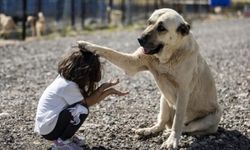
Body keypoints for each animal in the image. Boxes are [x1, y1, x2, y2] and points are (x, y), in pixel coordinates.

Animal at [77, 8, 221, 149]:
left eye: (161, 28)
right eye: (149, 22)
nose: (139, 39)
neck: (168, 57)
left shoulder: (183, 92)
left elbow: (178, 121)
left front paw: (172, 140)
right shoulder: (132, 63)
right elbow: (108, 50)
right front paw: (87, 45)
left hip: (214, 115)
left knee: (186, 127)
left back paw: (169, 132)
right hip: (164, 100)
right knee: (161, 124)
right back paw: (148, 131)